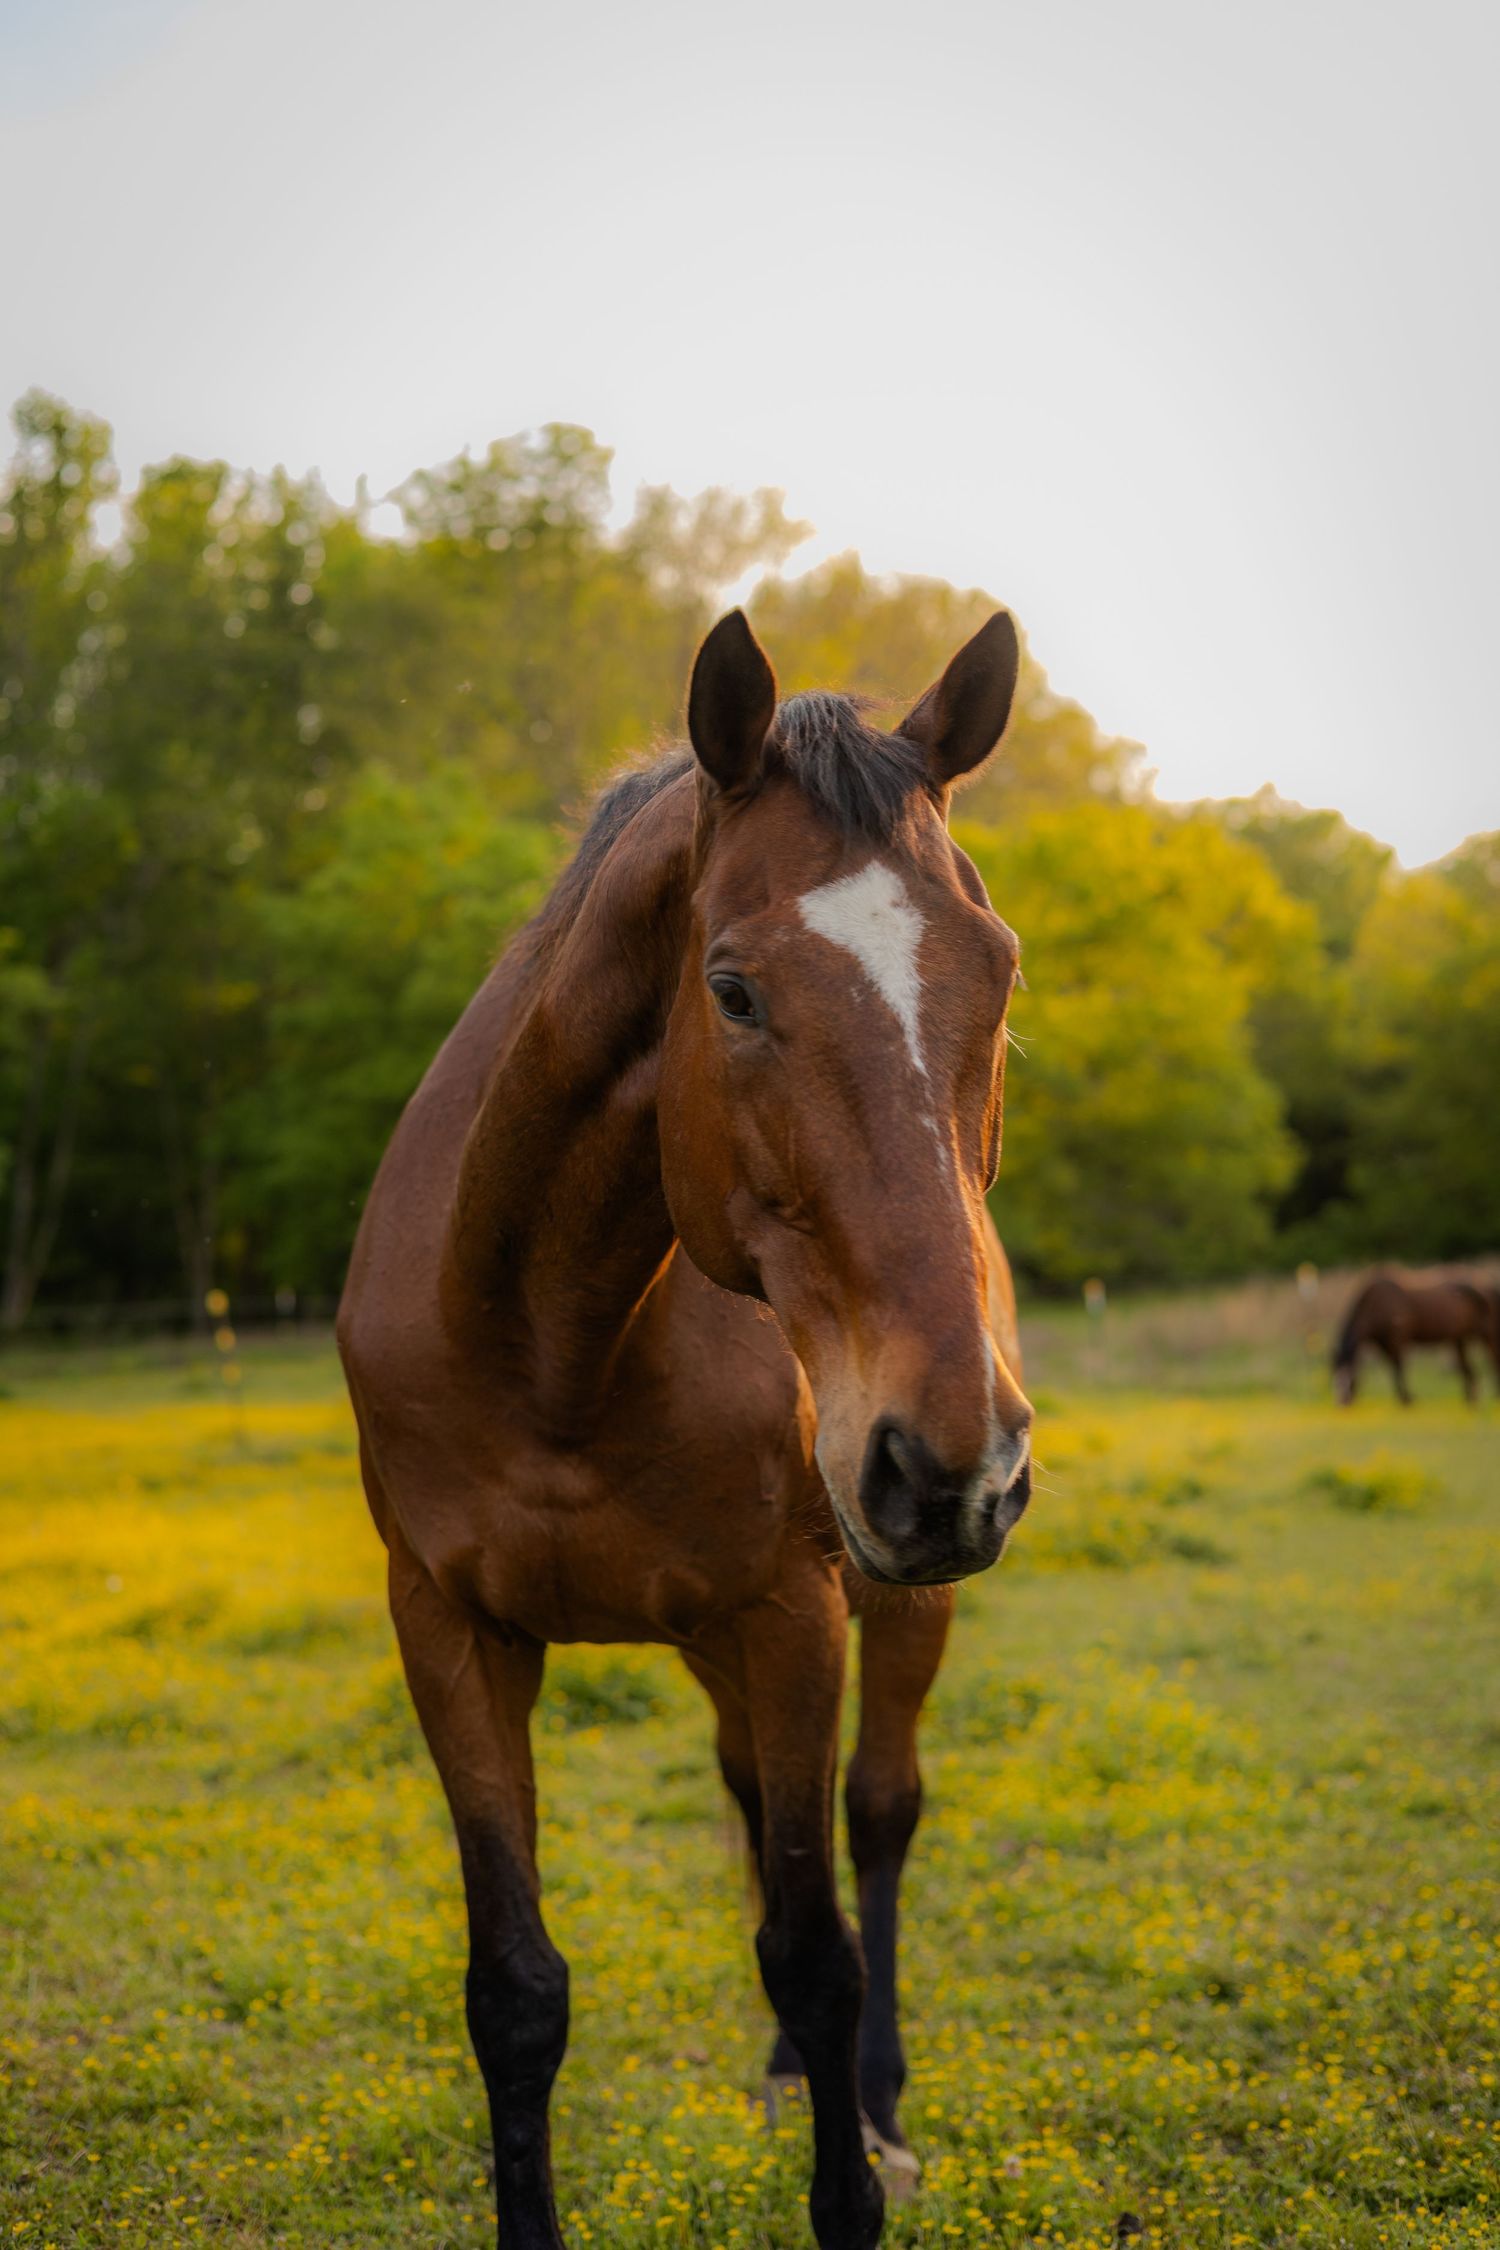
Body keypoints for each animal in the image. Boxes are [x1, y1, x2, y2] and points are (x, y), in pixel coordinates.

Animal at [338, 607, 1034, 2250]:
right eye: (733, 990)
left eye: (1001, 972)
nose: (946, 1462)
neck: (554, 1345)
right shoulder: (446, 1627)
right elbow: (516, 1991)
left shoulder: (797, 1613)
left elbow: (820, 1946)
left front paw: (857, 2163)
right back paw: (788, 2077)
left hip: (889, 1604)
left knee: (876, 1816)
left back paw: (874, 2100)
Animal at [1332, 1271, 1500, 1404]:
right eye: (1334, 1377)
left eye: (1350, 1377)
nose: (1342, 1402)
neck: (1377, 1306)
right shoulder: (1384, 1344)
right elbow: (1393, 1367)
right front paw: (1404, 1397)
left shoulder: (1397, 1340)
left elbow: (1398, 1367)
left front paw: (1407, 1398)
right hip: (1459, 1339)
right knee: (1468, 1367)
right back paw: (1470, 1399)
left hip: (1487, 1335)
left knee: (1492, 1360)